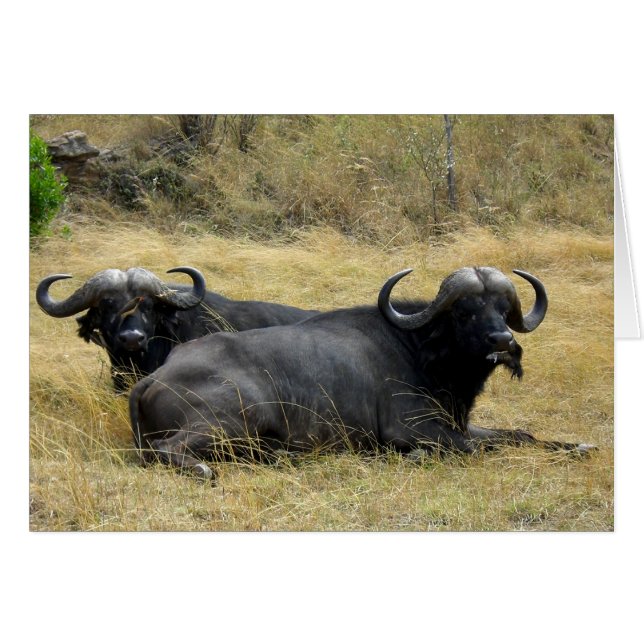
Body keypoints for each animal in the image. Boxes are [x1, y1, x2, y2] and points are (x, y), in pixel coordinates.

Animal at [129, 266, 595, 479]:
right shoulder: (413, 431)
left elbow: (521, 435)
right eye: (465, 311)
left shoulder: (461, 424)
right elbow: (475, 449)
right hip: (236, 417)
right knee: (165, 450)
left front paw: (577, 445)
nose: (502, 341)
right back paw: (204, 470)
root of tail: (153, 379)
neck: (421, 354)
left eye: (501, 307)